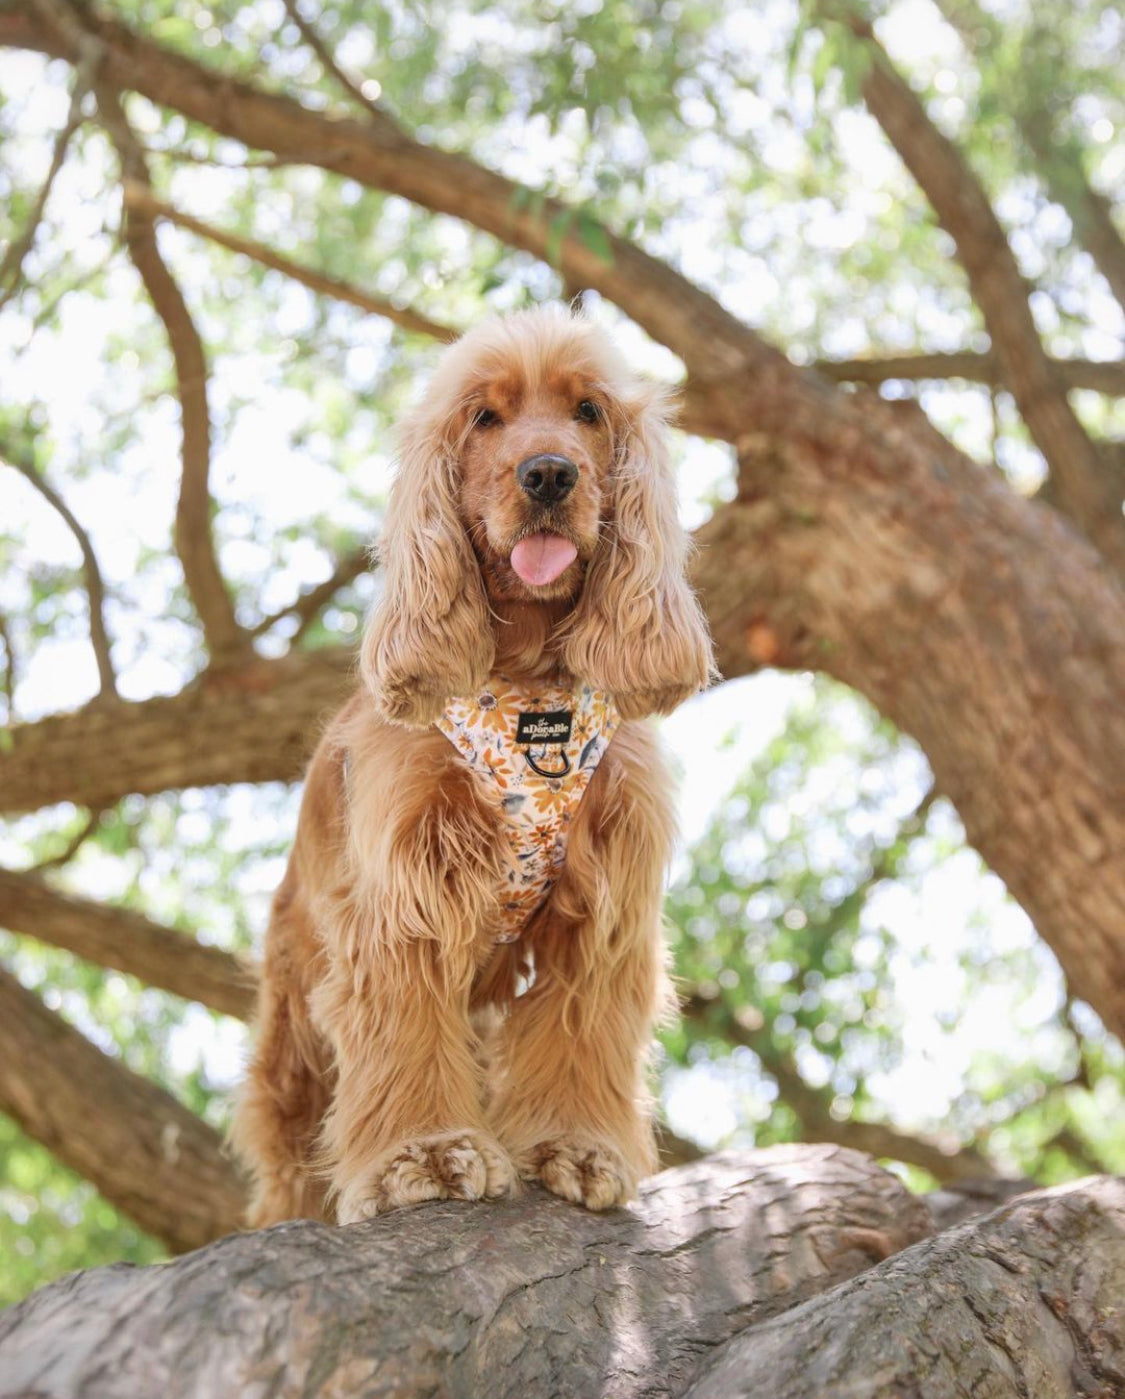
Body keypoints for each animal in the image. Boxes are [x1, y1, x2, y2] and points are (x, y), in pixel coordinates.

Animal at [232, 306, 716, 1225]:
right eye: (485, 418)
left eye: (588, 410)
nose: (548, 473)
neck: (528, 686)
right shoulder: (408, 890)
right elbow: (405, 1028)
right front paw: (421, 1156)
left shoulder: (603, 907)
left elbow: (578, 1029)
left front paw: (575, 1149)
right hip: (294, 1030)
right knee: (290, 1149)